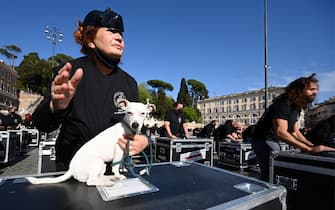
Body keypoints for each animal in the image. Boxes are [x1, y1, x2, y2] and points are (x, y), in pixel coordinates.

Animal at [25, 99, 155, 186]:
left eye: (143, 113)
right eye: (129, 113)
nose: (135, 124)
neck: (127, 129)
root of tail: (71, 169)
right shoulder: (118, 149)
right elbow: (115, 166)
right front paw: (118, 174)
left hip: (102, 164)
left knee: (99, 177)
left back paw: (108, 179)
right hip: (97, 162)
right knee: (90, 181)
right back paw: (108, 182)